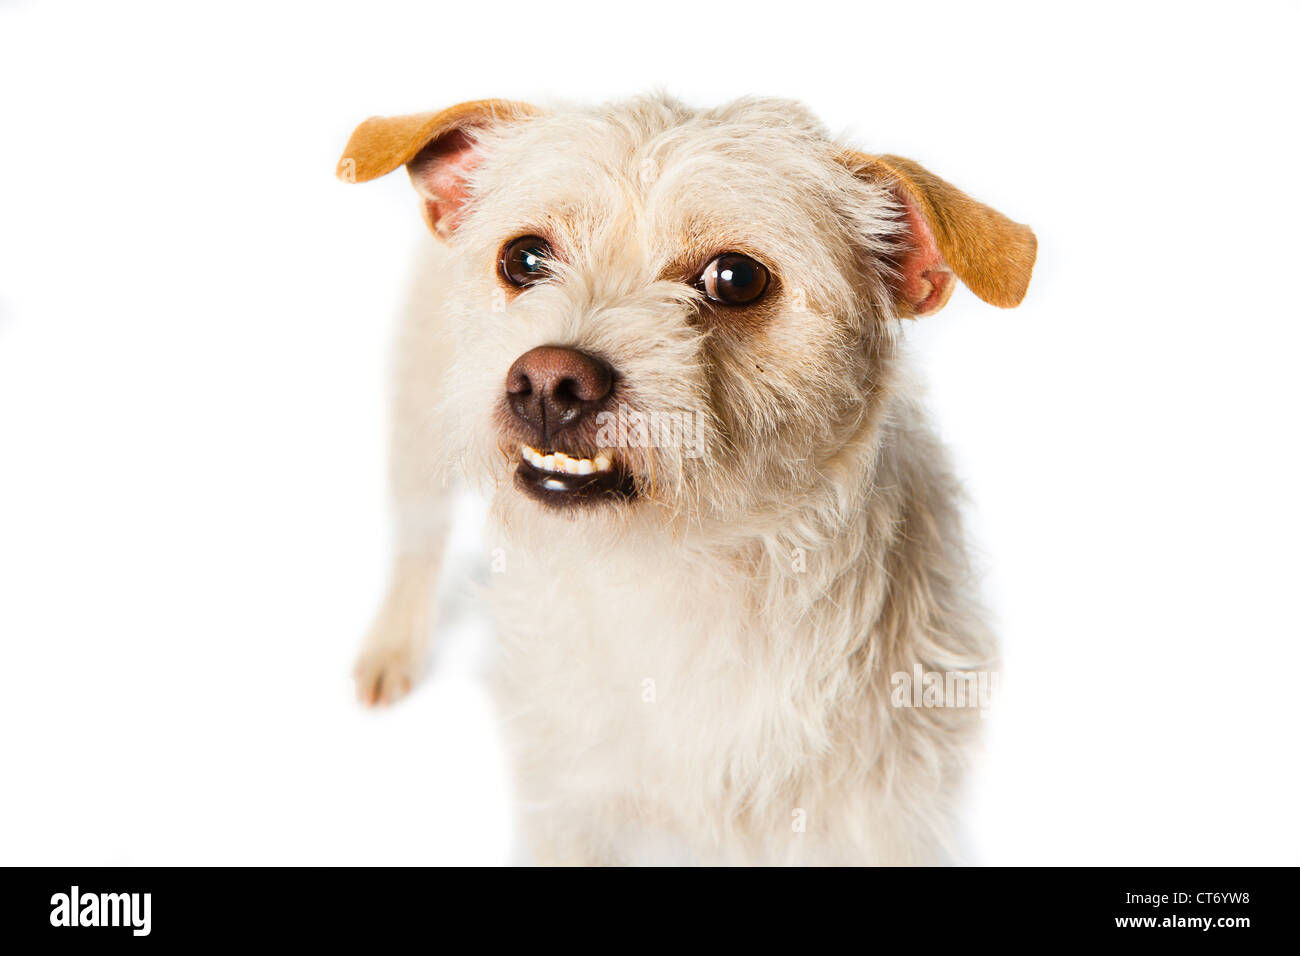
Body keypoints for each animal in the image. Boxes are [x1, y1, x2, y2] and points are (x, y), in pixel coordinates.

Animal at [335, 97, 1034, 868]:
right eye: (524, 258)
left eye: (736, 279)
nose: (549, 382)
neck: (680, 571)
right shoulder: (572, 809)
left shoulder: (885, 819)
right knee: (417, 538)